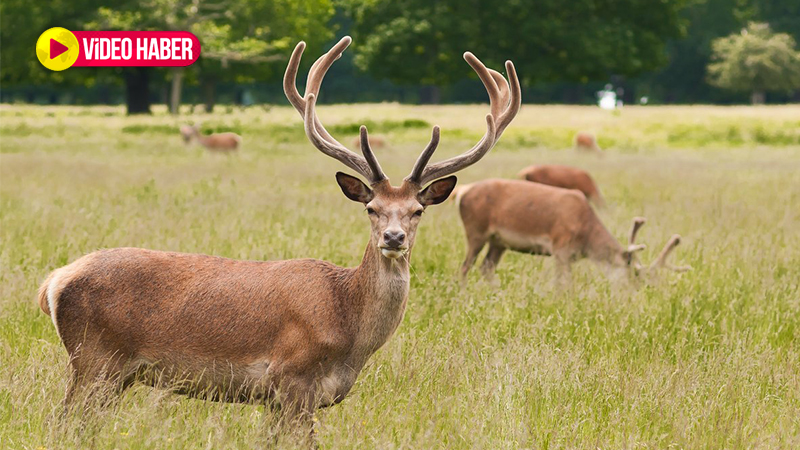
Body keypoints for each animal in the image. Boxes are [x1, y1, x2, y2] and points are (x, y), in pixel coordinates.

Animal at [37, 36, 520, 428]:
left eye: (418, 210)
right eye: (372, 208)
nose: (394, 238)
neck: (348, 326)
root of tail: (54, 282)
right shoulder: (291, 378)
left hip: (111, 373)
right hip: (94, 358)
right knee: (63, 422)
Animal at [454, 178, 692, 282]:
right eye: (635, 273)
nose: (636, 293)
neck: (587, 239)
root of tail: (462, 192)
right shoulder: (560, 247)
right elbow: (564, 284)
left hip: (498, 242)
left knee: (486, 267)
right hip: (475, 230)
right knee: (465, 266)